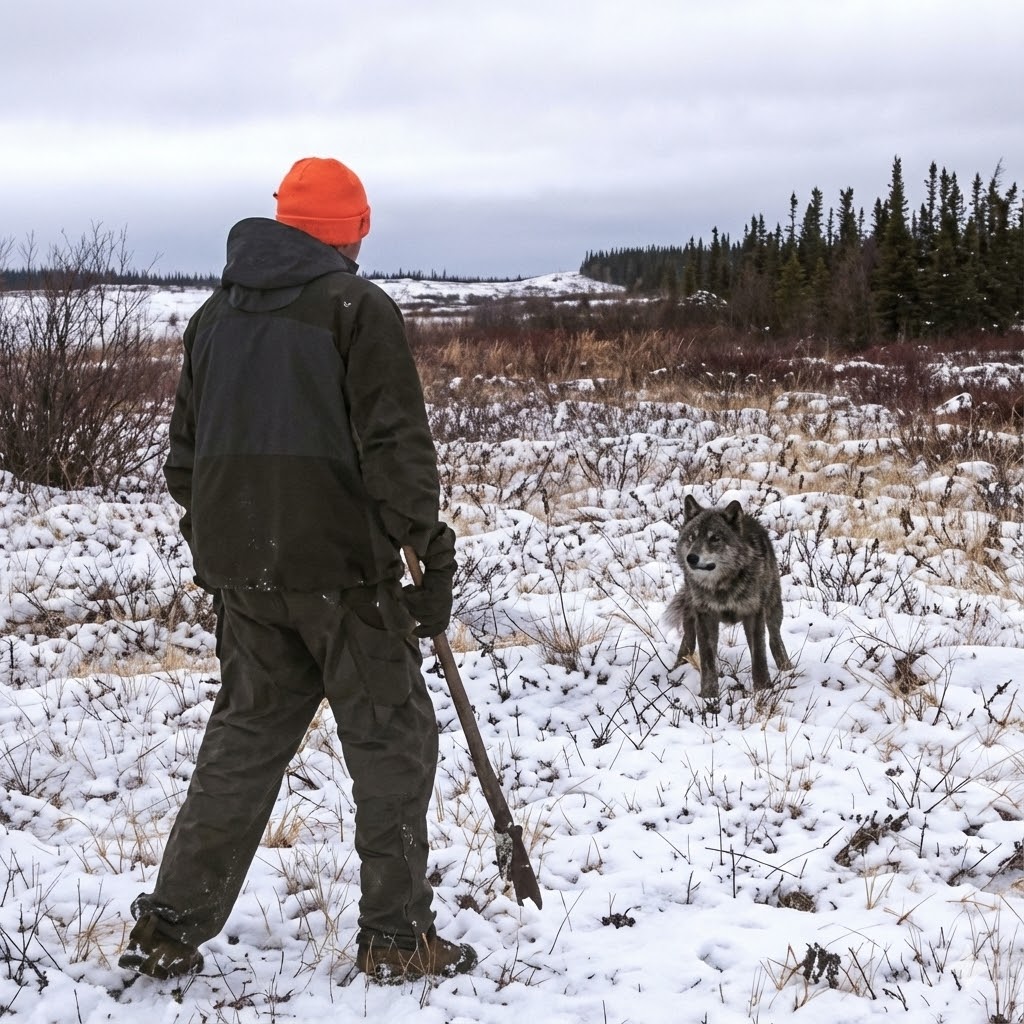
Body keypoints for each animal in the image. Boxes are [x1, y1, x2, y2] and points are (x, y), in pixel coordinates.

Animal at [665, 495, 791, 699]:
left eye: (715, 538)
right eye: (692, 537)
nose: (691, 558)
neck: (722, 586)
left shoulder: (754, 614)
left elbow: (759, 655)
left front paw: (763, 689)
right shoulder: (705, 616)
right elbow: (708, 659)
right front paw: (708, 696)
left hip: (773, 609)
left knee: (774, 639)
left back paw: (787, 668)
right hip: (690, 613)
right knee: (688, 642)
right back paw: (678, 667)